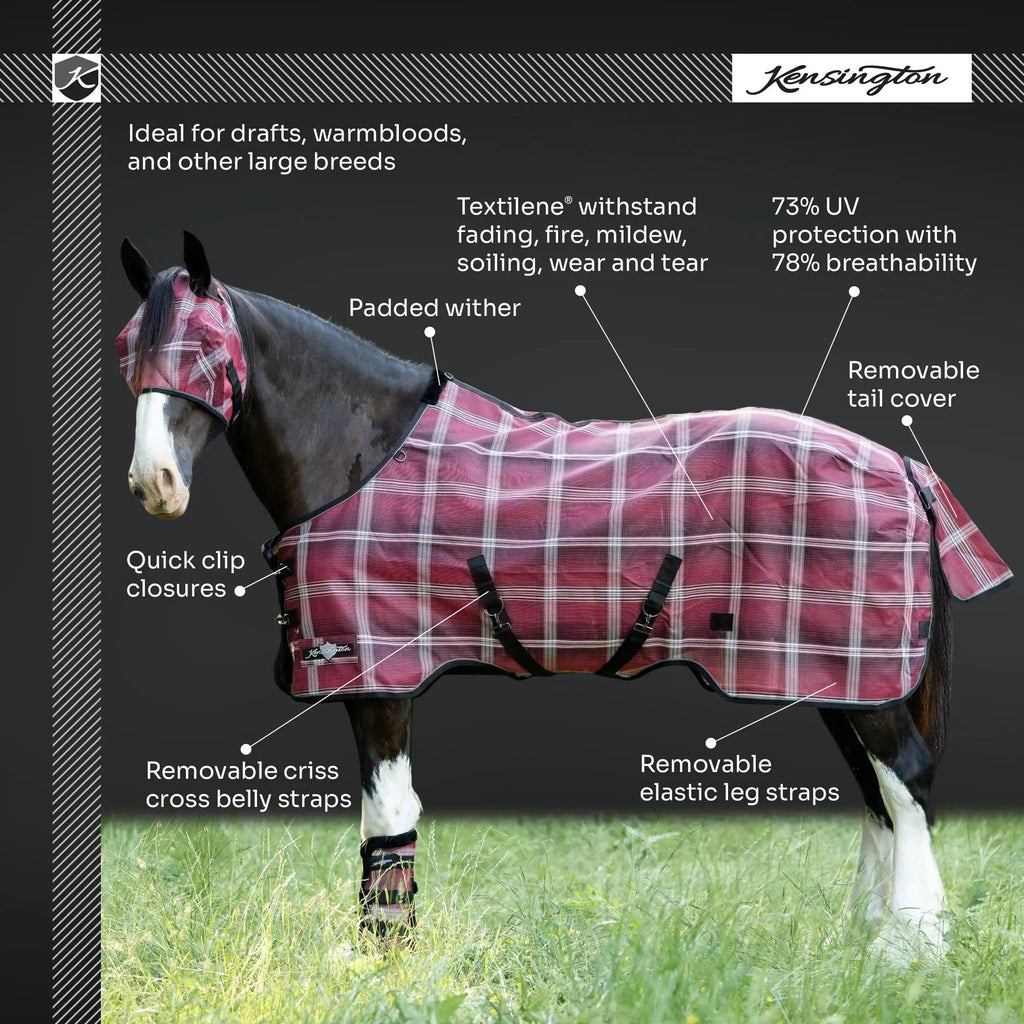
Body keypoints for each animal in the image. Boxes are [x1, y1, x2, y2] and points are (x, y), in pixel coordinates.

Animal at [116, 232, 1011, 956]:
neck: (363, 454)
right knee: (879, 796)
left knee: (906, 782)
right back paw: (864, 940)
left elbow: (389, 815)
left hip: (858, 680)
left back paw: (908, 950)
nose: (154, 483)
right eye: (129, 349)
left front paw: (386, 957)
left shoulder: (381, 679)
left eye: (206, 349)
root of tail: (903, 465)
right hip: (834, 681)